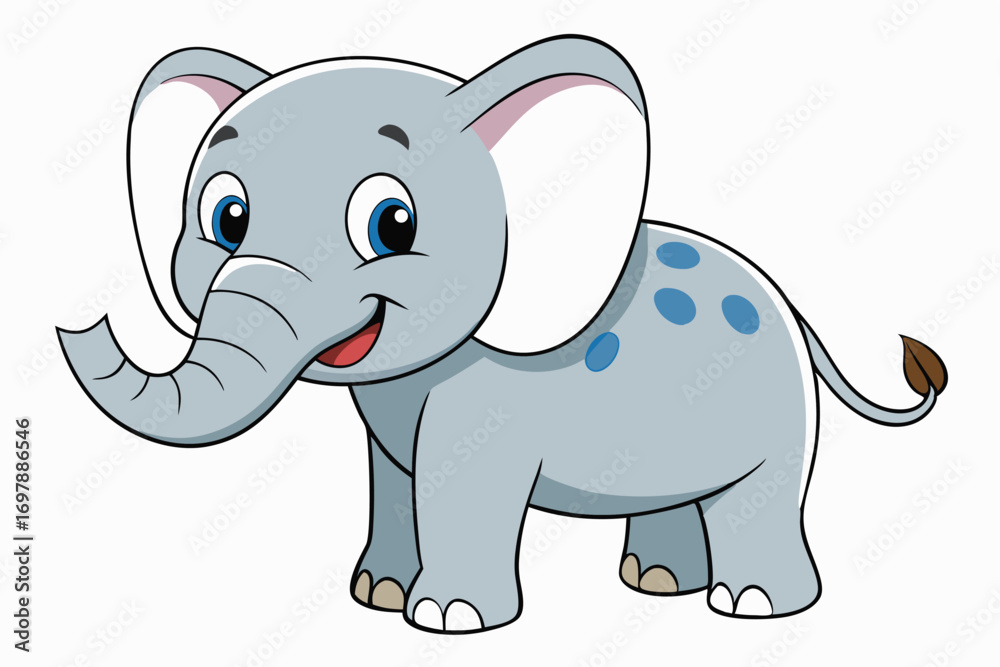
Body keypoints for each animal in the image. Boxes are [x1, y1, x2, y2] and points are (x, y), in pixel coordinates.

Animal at [58, 36, 947, 633]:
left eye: (392, 224)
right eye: (226, 219)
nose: (81, 319)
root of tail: (790, 303)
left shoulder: (487, 399)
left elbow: (458, 483)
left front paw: (446, 618)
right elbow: (395, 479)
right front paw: (377, 597)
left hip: (775, 414)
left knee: (760, 494)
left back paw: (753, 605)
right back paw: (656, 583)